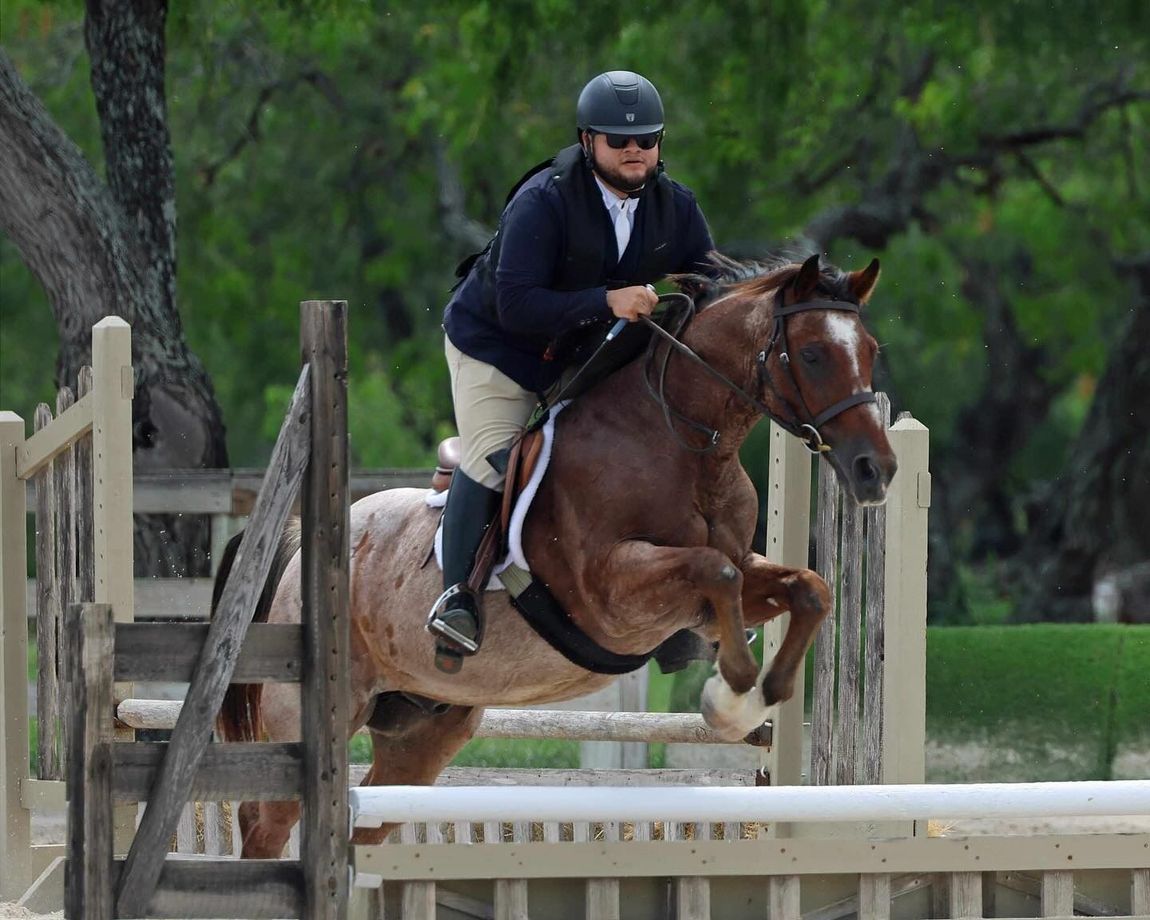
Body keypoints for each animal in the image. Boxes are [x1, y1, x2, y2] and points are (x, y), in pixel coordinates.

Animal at [215, 251, 898, 857]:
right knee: (265, 823)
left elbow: (809, 589)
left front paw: (763, 694)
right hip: (318, 712)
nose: (877, 471)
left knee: (369, 821)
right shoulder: (611, 593)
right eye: (812, 354)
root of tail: (302, 548)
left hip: (424, 730)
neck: (683, 443)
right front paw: (728, 698)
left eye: (871, 352)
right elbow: (715, 569)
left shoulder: (728, 581)